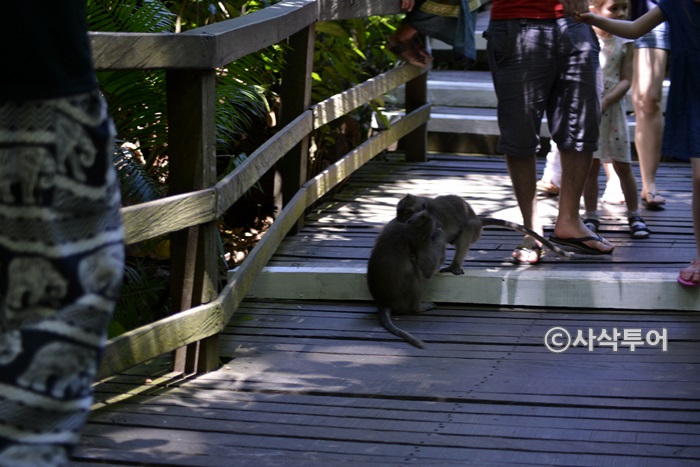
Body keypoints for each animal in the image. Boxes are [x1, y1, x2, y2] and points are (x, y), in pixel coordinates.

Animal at [366, 209, 446, 348]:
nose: (426, 212)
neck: (409, 231)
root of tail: (383, 303)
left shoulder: (392, 227)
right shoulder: (423, 244)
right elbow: (428, 271)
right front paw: (439, 233)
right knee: (415, 274)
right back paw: (419, 308)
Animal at [396, 194, 576, 275]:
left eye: (406, 212)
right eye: (399, 212)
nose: (398, 219)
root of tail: (477, 217)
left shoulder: (434, 223)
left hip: (476, 229)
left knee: (469, 227)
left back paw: (455, 266)